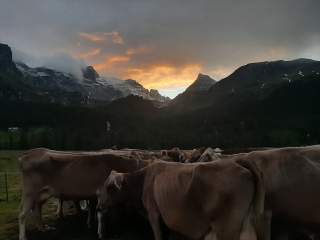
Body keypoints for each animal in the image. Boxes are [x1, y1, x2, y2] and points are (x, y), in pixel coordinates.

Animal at [18, 148, 153, 240]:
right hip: (30, 193)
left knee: (37, 209)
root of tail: (30, 153)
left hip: (41, 194)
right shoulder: (102, 194)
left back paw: (42, 228)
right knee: (22, 215)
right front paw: (101, 233)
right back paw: (23, 236)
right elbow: (101, 214)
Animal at [96, 159, 264, 240]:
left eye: (109, 187)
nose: (98, 207)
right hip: (245, 223)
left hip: (227, 227)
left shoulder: (154, 214)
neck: (143, 180)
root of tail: (237, 163)